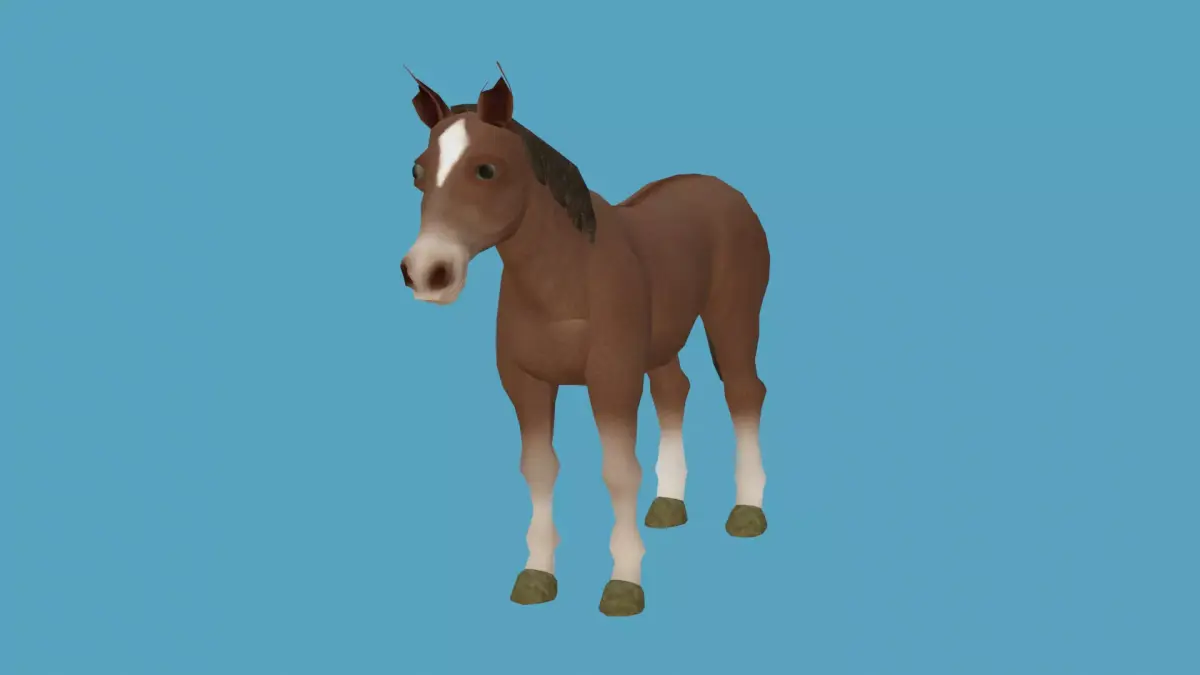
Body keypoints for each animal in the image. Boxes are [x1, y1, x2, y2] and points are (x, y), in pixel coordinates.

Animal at [398, 64, 770, 616]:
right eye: (418, 172)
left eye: (486, 170)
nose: (427, 272)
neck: (565, 278)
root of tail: (726, 191)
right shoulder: (526, 384)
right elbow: (539, 469)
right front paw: (536, 576)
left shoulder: (611, 380)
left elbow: (618, 471)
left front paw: (624, 584)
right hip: (661, 342)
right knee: (674, 391)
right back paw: (668, 504)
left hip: (732, 319)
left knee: (744, 393)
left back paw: (747, 512)